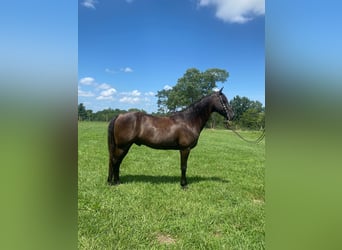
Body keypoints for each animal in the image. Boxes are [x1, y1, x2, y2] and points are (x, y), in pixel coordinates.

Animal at [107, 88, 235, 188]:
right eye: (223, 101)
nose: (232, 115)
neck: (189, 120)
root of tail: (120, 115)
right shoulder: (185, 149)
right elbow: (183, 167)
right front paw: (184, 185)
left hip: (124, 147)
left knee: (116, 162)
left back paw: (116, 182)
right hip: (122, 146)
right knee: (115, 161)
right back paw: (114, 182)